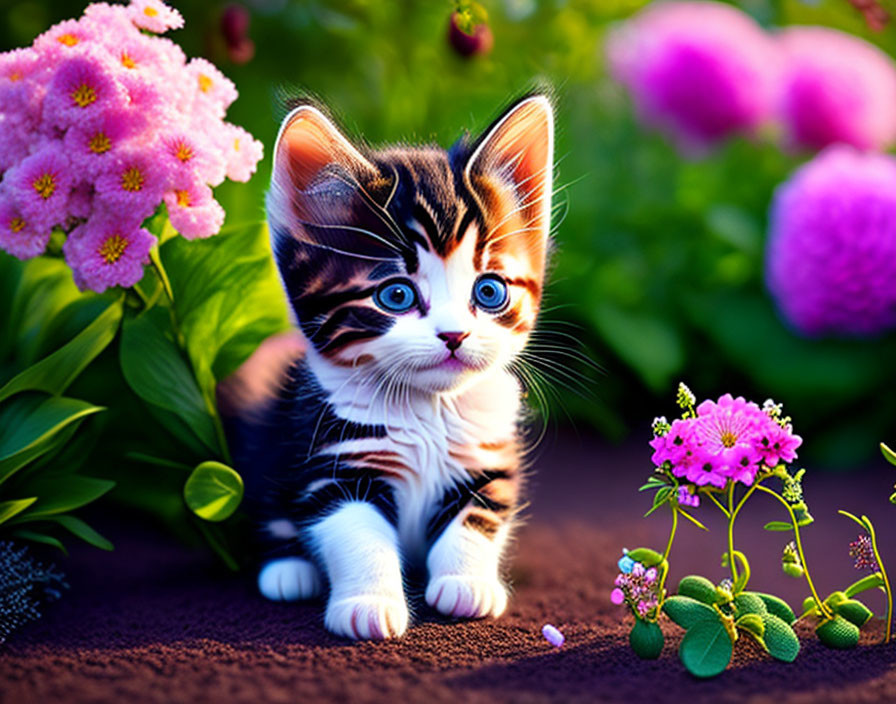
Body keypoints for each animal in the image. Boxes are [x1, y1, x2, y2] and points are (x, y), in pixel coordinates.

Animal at [224, 96, 552, 640]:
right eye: (396, 295)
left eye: (489, 291)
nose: (454, 335)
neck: (428, 410)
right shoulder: (333, 461)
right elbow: (357, 535)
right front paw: (368, 604)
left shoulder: (488, 455)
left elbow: (476, 519)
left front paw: (466, 584)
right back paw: (288, 569)